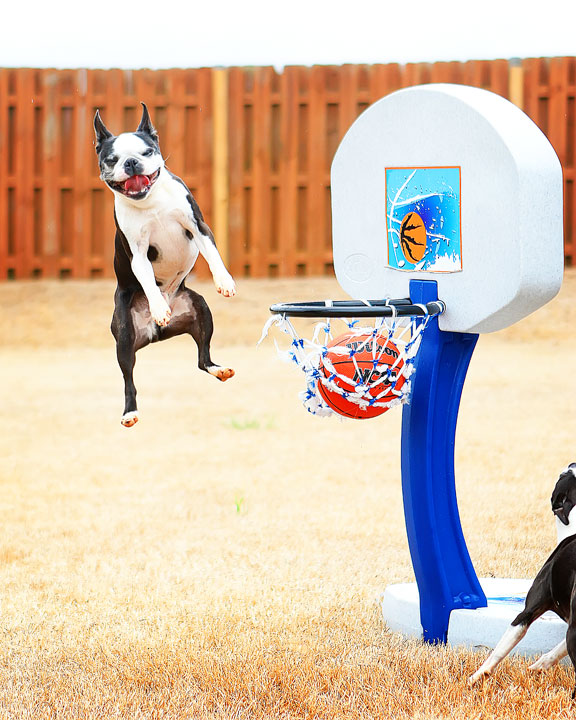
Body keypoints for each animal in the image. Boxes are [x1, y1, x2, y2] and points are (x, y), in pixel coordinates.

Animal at [93, 104, 235, 424]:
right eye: (112, 159)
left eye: (146, 152)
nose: (132, 163)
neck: (150, 202)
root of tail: (155, 335)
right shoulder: (138, 254)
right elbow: (146, 279)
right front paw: (158, 307)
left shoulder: (199, 227)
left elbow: (213, 254)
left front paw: (225, 281)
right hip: (124, 335)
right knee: (128, 379)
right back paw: (130, 412)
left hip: (201, 310)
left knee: (202, 358)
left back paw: (218, 369)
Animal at [470, 464, 576, 696]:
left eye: (564, 476)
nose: (569, 464)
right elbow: (556, 650)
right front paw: (540, 665)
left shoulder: (526, 612)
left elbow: (499, 650)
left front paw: (477, 676)